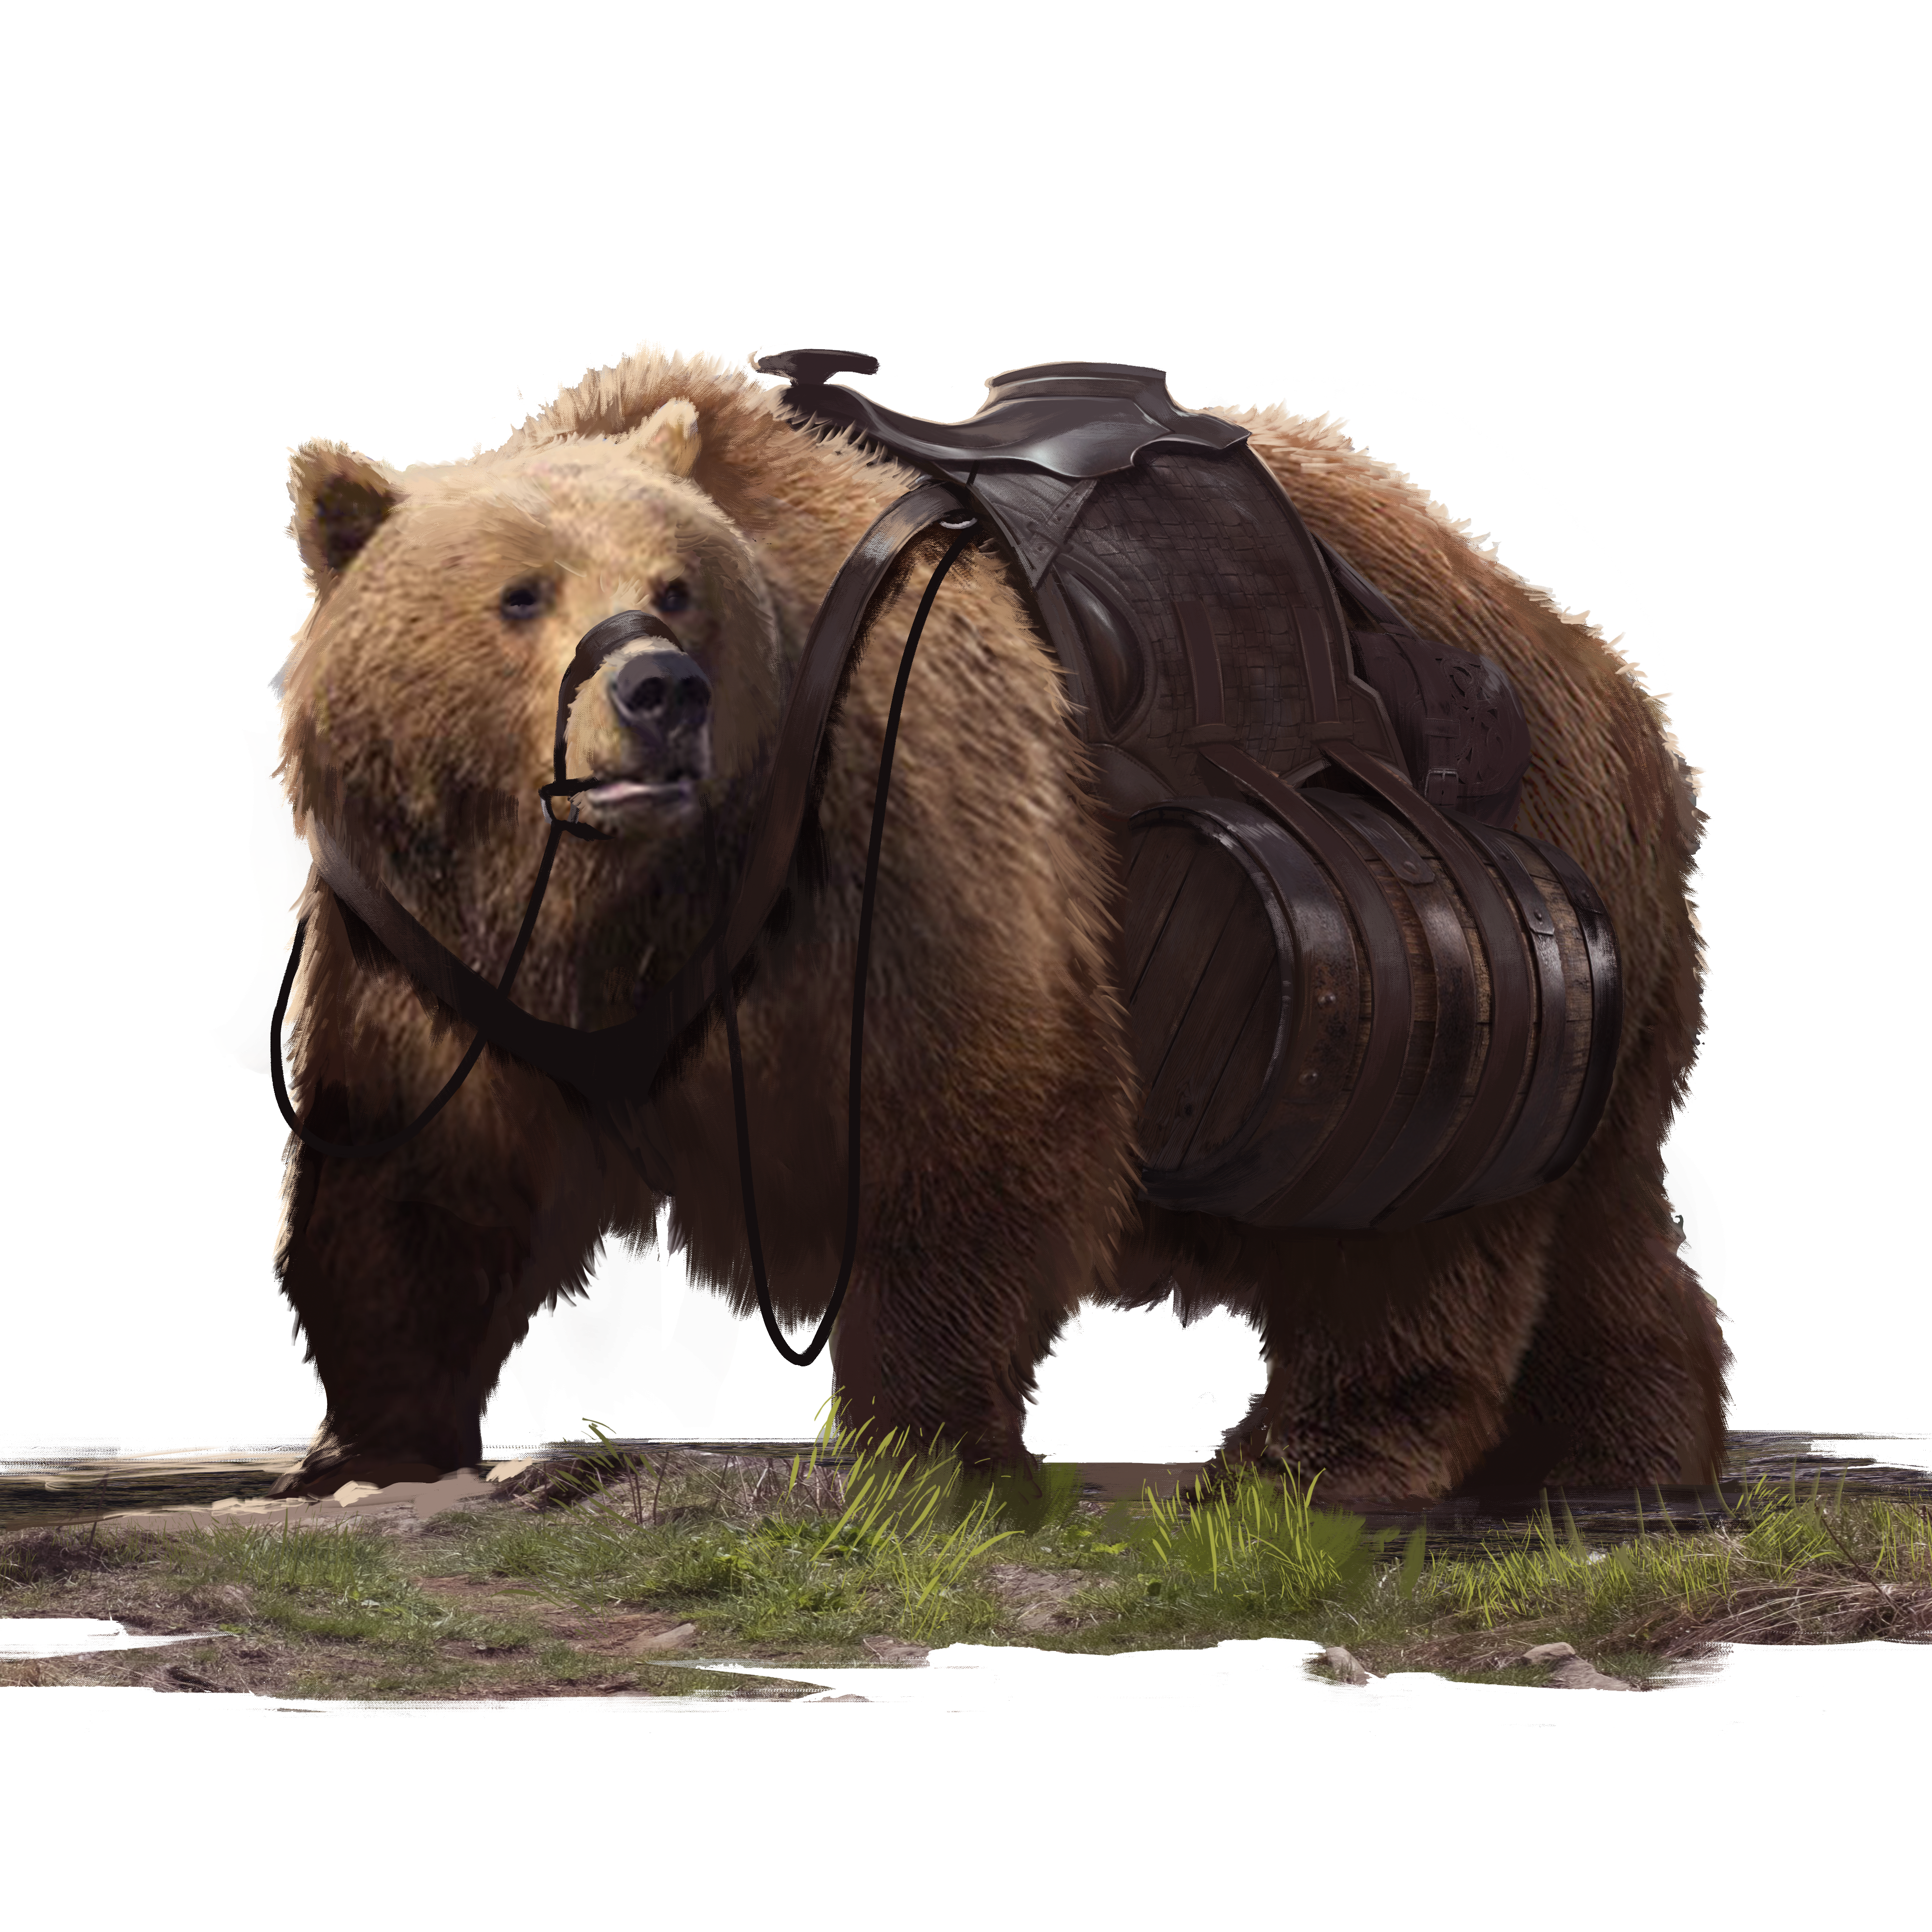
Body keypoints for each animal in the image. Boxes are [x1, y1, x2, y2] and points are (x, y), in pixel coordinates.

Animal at [256, 337, 1726, 1504]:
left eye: (678, 587)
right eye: (519, 593)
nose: (658, 690)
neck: (615, 892)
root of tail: (1589, 650)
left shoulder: (910, 808)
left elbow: (973, 1111)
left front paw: (916, 1446)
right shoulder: (438, 948)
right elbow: (417, 1173)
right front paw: (376, 1444)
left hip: (1449, 922)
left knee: (1429, 1215)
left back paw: (1323, 1453)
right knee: (1598, 1215)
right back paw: (1626, 1449)